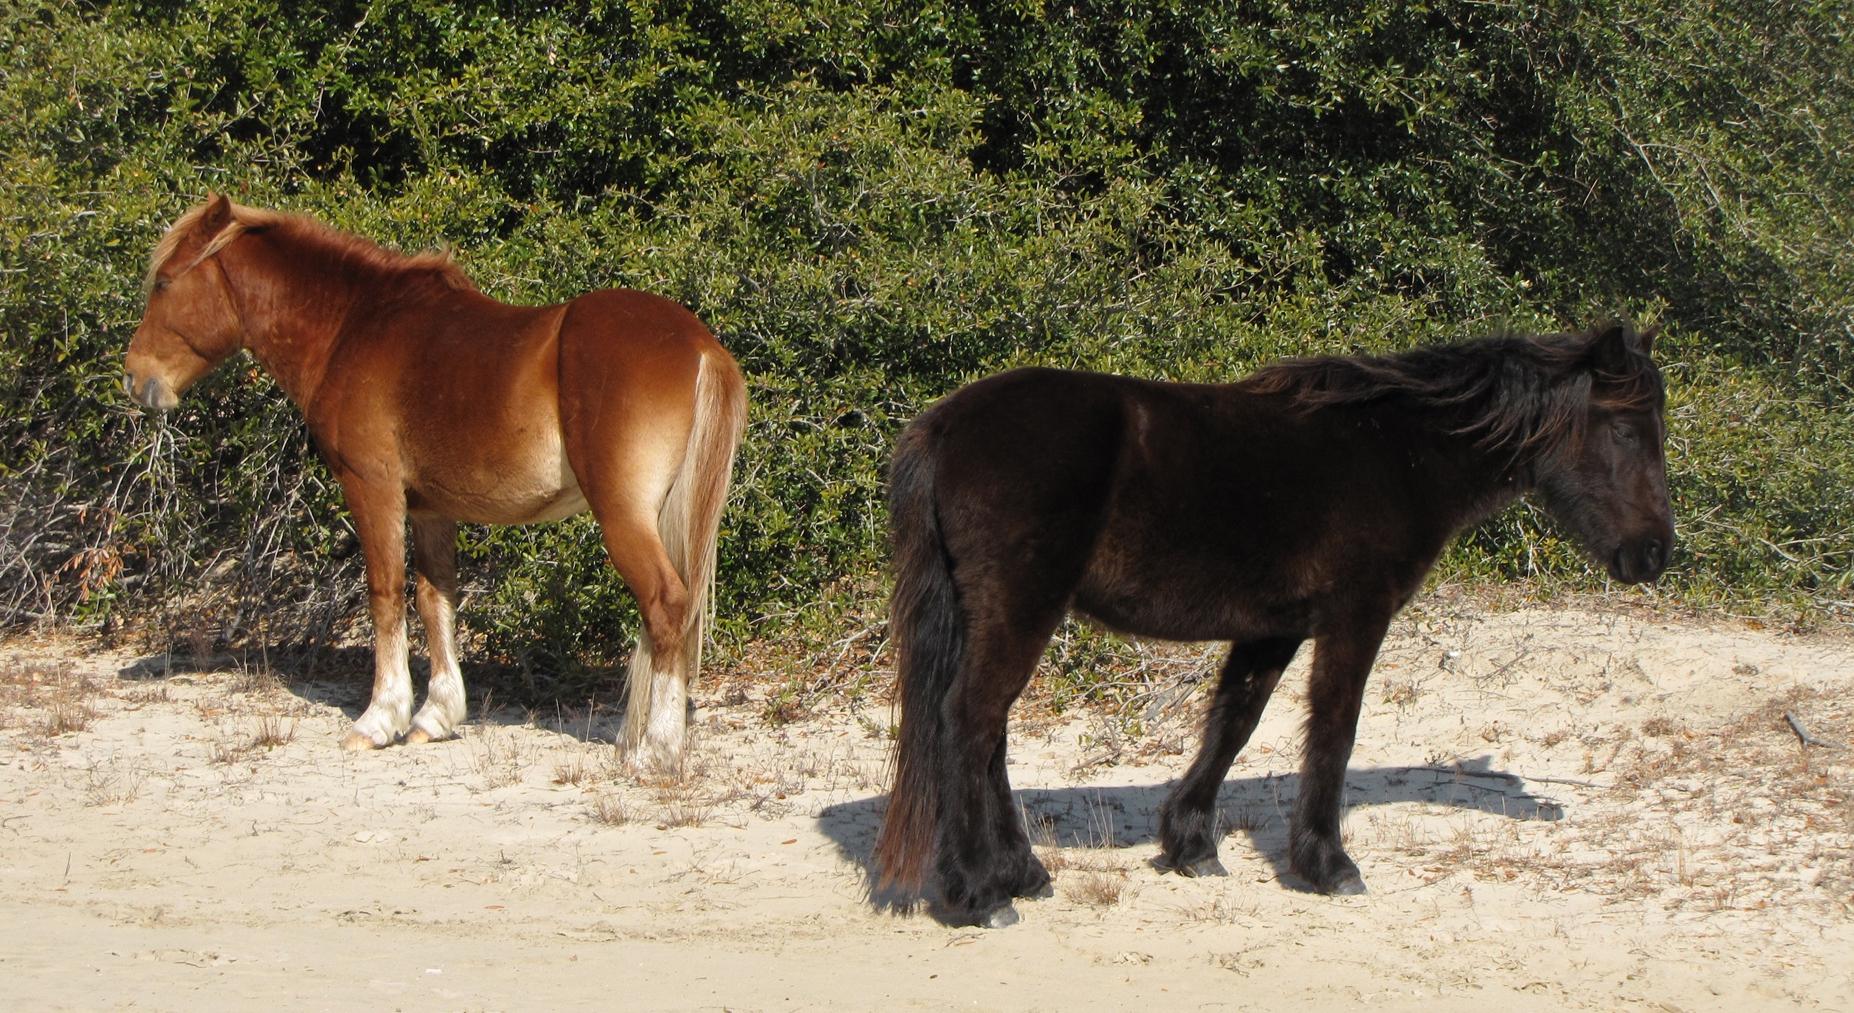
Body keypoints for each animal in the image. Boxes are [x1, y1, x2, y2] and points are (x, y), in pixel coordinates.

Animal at [119, 194, 745, 764]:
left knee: (666, 604)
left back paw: (657, 750)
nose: (134, 377)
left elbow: (385, 593)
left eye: (165, 284)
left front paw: (379, 719)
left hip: (622, 514)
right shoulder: (429, 507)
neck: (354, 327)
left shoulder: (371, 487)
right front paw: (435, 716)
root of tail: (700, 346)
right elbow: (432, 597)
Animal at [875, 320, 1676, 923]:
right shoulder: (1355, 616)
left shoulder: (1273, 628)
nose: (1655, 553)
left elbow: (1236, 721)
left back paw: (1023, 872)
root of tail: (943, 424)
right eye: (1628, 431)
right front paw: (1328, 863)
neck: (1397, 452)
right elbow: (1334, 730)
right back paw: (979, 893)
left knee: (989, 734)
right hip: (1020, 608)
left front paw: (1192, 846)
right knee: (968, 722)